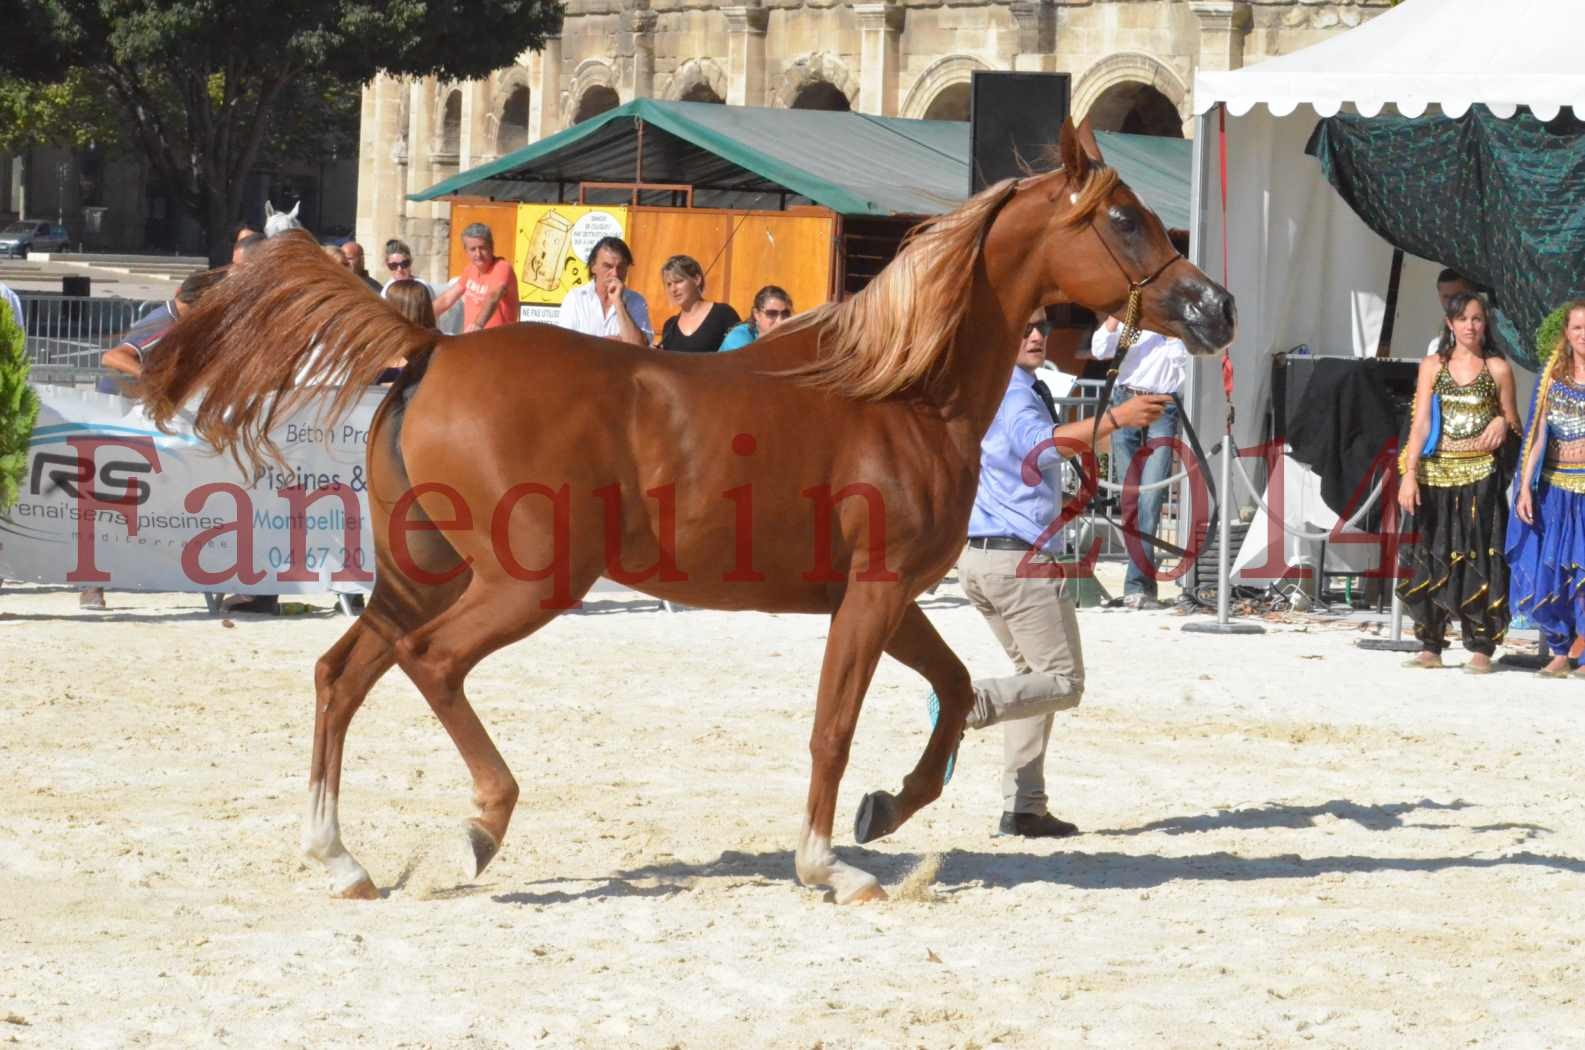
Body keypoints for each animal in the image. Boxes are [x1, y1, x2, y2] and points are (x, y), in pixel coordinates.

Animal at [139, 121, 1236, 907]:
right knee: (429, 665)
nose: (1214, 307)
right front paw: (829, 863)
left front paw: (883, 813)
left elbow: (957, 689)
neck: (902, 392)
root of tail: (433, 347)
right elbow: (833, 726)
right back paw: (477, 829)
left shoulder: (889, 598)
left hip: (421, 572)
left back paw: (340, 857)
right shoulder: (873, 595)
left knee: (342, 673)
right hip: (529, 581)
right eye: (1125, 218)